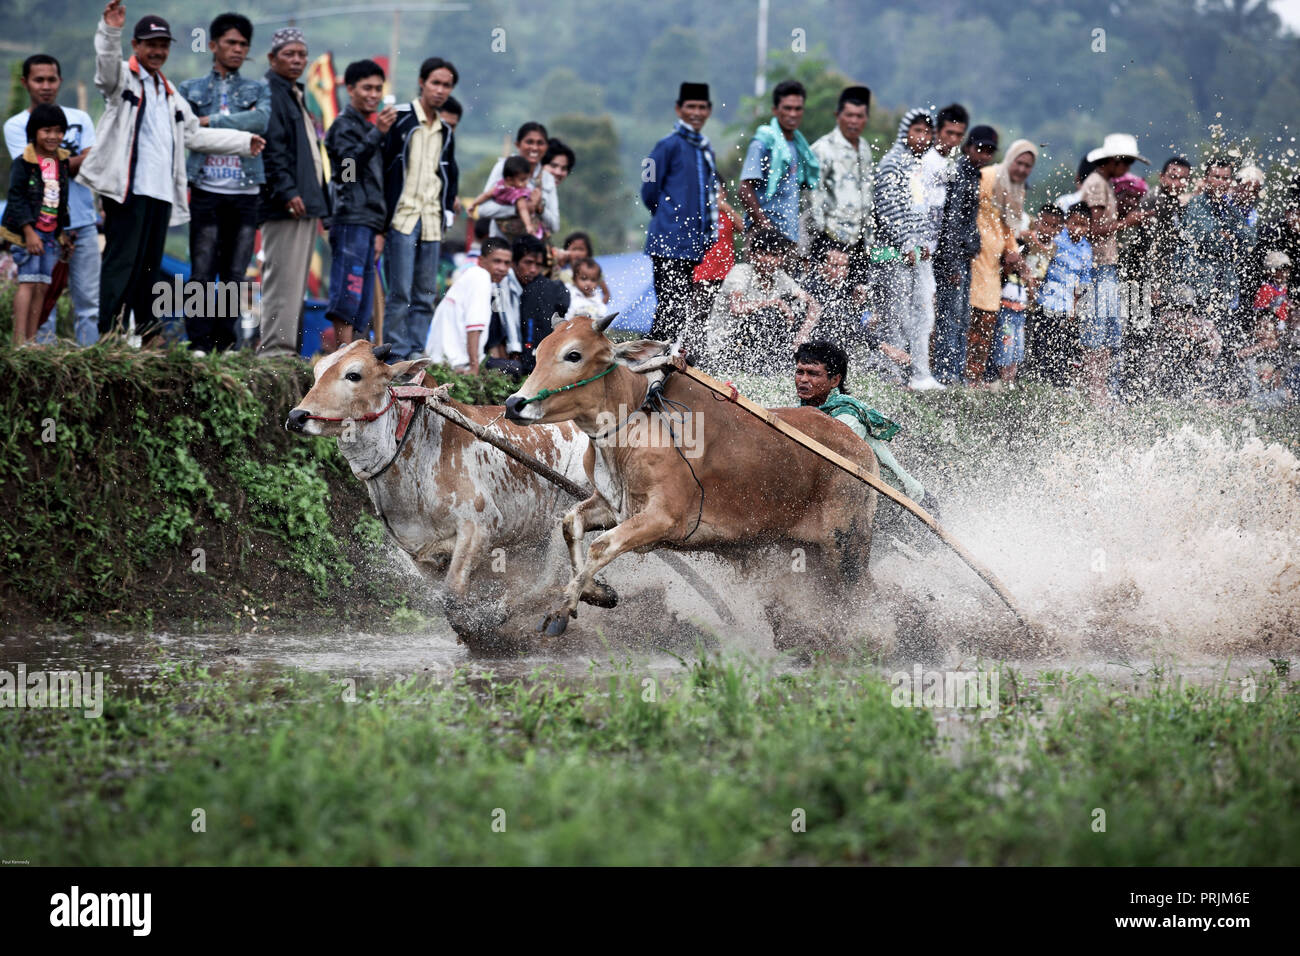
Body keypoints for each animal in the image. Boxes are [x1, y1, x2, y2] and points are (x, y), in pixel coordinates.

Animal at [503, 315, 880, 647]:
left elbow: (602, 546)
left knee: (861, 598)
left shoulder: (663, 517)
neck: (634, 420)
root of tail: (861, 449)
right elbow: (571, 524)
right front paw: (599, 593)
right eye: (538, 353)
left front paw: (561, 611)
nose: (513, 404)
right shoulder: (614, 506)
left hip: (845, 547)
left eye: (574, 354)